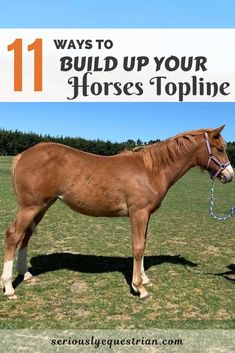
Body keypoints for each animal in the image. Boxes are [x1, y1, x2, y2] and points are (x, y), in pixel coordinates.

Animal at [1, 125, 233, 298]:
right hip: (30, 208)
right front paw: (139, 287)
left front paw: (144, 278)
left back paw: (26, 274)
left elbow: (143, 244)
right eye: (220, 148)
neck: (151, 170)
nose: (229, 176)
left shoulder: (145, 215)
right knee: (13, 235)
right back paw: (9, 288)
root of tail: (22, 156)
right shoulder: (138, 213)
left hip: (42, 207)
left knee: (25, 236)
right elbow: (138, 247)